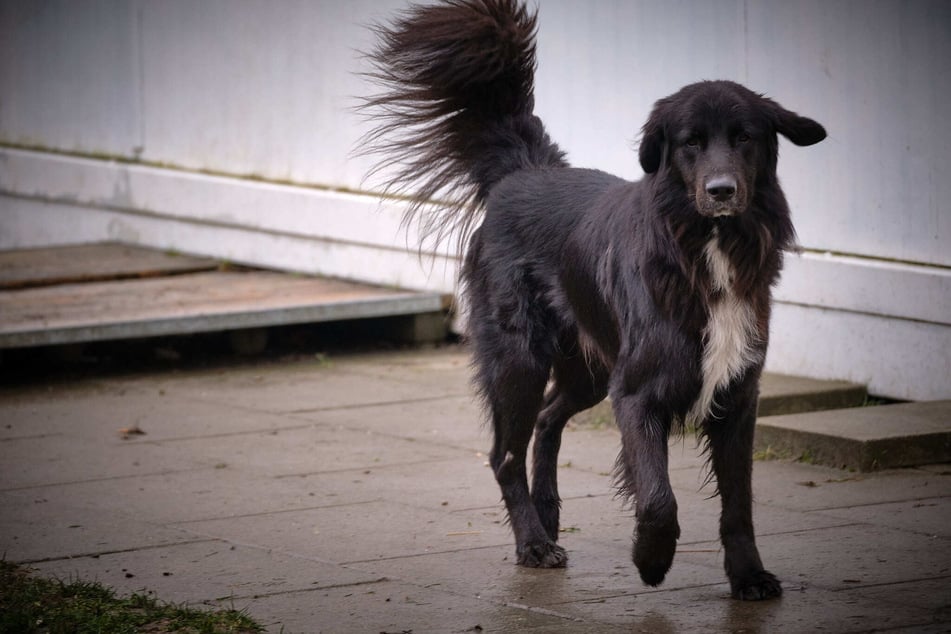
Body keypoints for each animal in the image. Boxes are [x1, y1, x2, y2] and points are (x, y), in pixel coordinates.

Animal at [362, 0, 824, 596]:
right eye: (690, 142)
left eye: (745, 137)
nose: (721, 190)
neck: (702, 247)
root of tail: (522, 171)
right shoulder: (636, 394)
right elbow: (657, 496)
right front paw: (651, 559)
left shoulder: (737, 397)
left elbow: (739, 502)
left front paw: (748, 575)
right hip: (520, 360)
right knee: (503, 454)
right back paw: (533, 543)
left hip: (588, 369)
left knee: (547, 420)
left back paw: (547, 514)